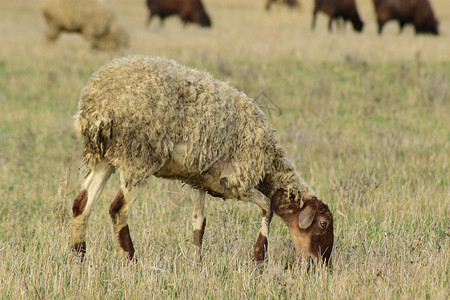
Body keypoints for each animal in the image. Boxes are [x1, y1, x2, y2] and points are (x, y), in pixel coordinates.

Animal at [68, 55, 332, 266]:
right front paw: (259, 257)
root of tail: (97, 104)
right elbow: (268, 206)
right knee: (117, 209)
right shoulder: (236, 181)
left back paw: (78, 256)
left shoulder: (198, 181)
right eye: (323, 224)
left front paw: (197, 262)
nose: (321, 265)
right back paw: (130, 259)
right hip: (138, 158)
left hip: (105, 157)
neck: (269, 167)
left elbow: (199, 224)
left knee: (81, 204)